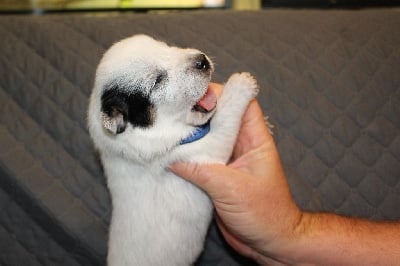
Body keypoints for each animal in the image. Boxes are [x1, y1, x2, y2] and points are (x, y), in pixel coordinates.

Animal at [86, 35, 260, 266]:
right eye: (157, 81)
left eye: (166, 46)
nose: (202, 60)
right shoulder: (202, 151)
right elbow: (223, 121)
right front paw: (241, 85)